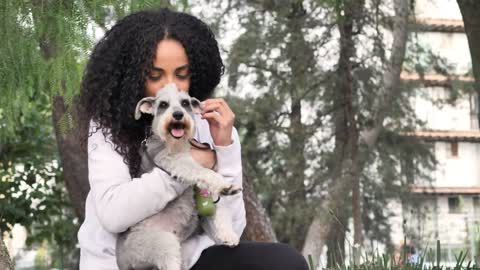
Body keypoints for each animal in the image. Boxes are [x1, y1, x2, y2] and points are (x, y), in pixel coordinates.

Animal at [116, 84, 242, 270]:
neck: (179, 144)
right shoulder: (176, 161)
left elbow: (220, 209)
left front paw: (228, 234)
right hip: (159, 242)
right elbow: (203, 172)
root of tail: (123, 262)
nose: (177, 114)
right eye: (163, 104)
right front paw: (226, 186)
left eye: (185, 103)